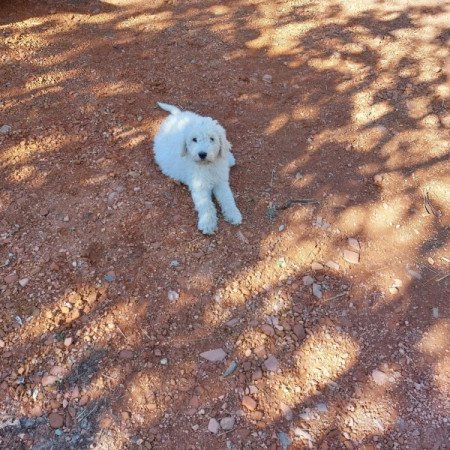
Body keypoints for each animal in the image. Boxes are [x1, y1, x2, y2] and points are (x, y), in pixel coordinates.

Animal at [154, 103, 243, 234]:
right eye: (194, 139)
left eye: (212, 139)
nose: (202, 154)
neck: (207, 166)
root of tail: (177, 115)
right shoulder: (199, 185)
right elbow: (205, 204)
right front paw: (208, 223)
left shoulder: (221, 181)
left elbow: (227, 198)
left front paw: (233, 214)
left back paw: (230, 158)